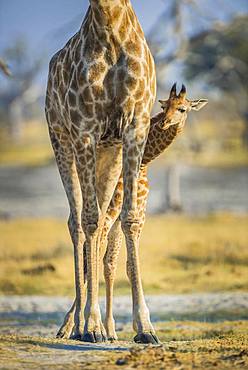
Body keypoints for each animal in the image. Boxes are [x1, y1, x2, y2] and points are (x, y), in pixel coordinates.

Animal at [44, 0, 157, 342]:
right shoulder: (84, 128)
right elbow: (90, 220)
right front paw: (92, 324)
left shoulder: (135, 125)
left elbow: (129, 218)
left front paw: (145, 327)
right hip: (60, 136)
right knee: (77, 221)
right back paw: (77, 325)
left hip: (109, 152)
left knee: (102, 224)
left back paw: (84, 325)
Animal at [57, 83, 208, 342]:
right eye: (164, 106)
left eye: (182, 108)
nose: (165, 123)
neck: (146, 157)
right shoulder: (133, 207)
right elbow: (116, 260)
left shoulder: (119, 216)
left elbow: (111, 264)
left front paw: (108, 328)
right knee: (89, 243)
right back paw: (76, 325)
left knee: (79, 233)